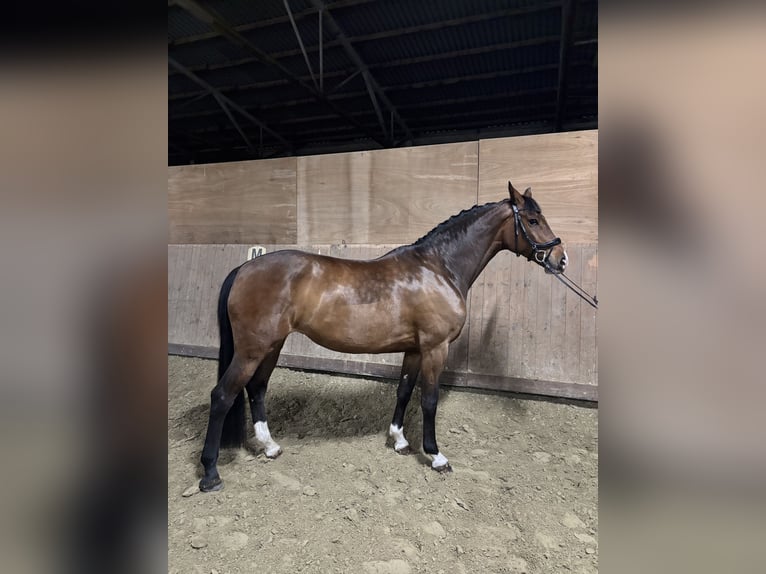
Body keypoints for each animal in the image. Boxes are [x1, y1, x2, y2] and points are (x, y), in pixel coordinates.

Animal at [199, 181, 568, 492]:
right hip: (253, 349)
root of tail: (244, 268)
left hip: (271, 346)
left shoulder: (415, 349)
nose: (560, 259)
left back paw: (270, 447)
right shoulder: (435, 348)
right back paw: (210, 473)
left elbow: (403, 391)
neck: (438, 268)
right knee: (222, 395)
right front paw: (436, 456)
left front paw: (399, 441)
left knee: (257, 388)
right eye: (533, 220)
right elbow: (429, 399)